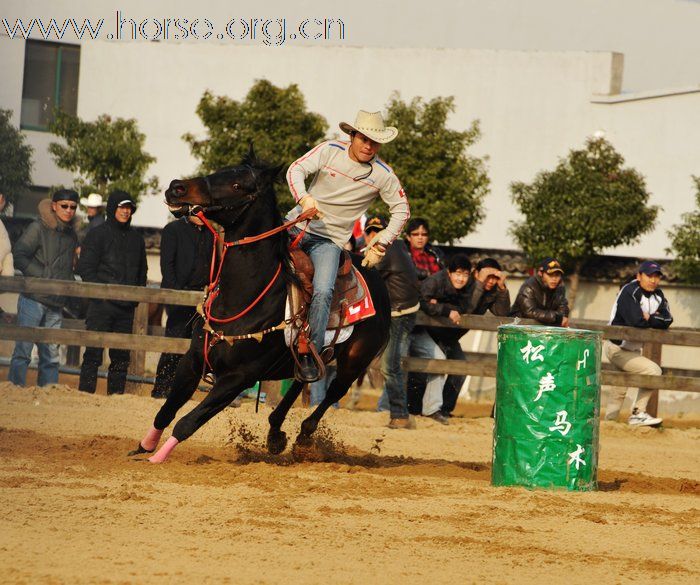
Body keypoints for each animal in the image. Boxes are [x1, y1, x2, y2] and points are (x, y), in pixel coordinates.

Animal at [131, 149, 392, 460]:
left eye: (237, 185)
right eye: (220, 170)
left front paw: (157, 458)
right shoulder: (192, 361)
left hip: (355, 361)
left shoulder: (237, 379)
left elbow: (188, 421)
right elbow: (166, 410)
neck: (244, 296)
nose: (177, 187)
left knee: (332, 393)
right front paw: (144, 446)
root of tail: (377, 280)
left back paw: (303, 435)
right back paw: (276, 432)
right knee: (302, 380)